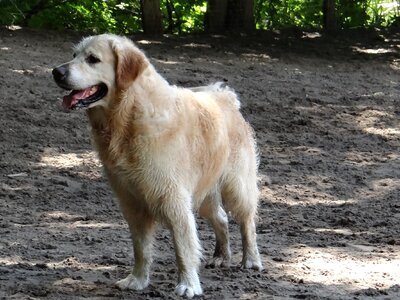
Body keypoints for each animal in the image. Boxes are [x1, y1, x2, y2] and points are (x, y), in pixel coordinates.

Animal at [51, 34, 262, 296]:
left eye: (92, 59)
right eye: (74, 55)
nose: (56, 72)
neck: (128, 116)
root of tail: (225, 97)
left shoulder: (173, 198)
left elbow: (183, 247)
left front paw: (188, 284)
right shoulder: (131, 201)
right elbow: (141, 248)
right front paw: (138, 280)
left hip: (236, 186)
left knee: (246, 221)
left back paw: (251, 260)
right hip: (204, 195)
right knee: (221, 218)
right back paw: (222, 256)